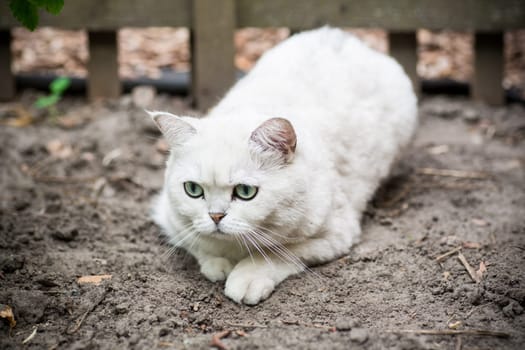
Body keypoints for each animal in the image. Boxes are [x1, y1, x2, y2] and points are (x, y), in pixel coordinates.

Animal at [149, 27, 416, 304]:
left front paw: (246, 277)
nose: (215, 216)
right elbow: (199, 243)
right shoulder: (168, 216)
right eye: (193, 190)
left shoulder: (337, 232)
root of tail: (346, 37)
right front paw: (217, 263)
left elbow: (278, 252)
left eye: (245, 192)